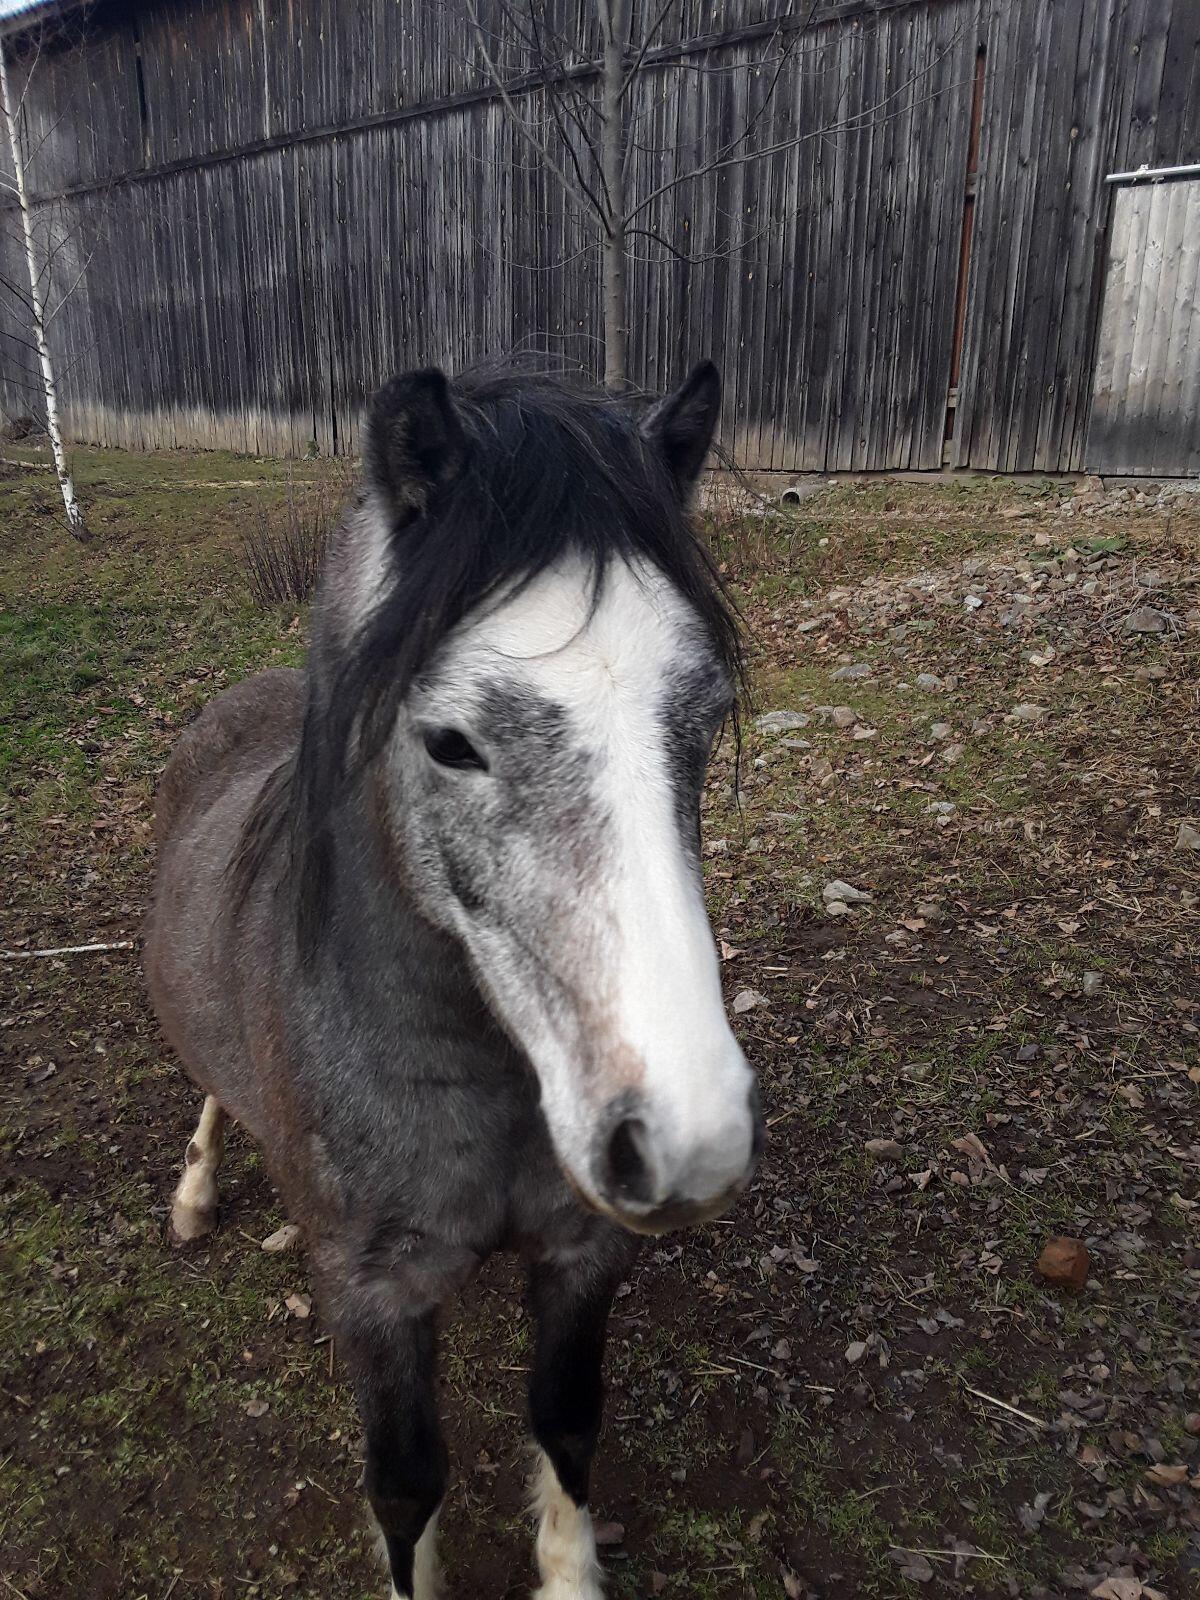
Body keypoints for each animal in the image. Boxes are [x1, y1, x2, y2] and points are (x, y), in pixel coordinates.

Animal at [144, 361, 762, 1600]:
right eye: (450, 743)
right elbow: (405, 1487)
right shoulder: (372, 1297)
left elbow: (567, 1425)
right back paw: (194, 1193)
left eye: (706, 718)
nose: (690, 1137)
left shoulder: (582, 1254)